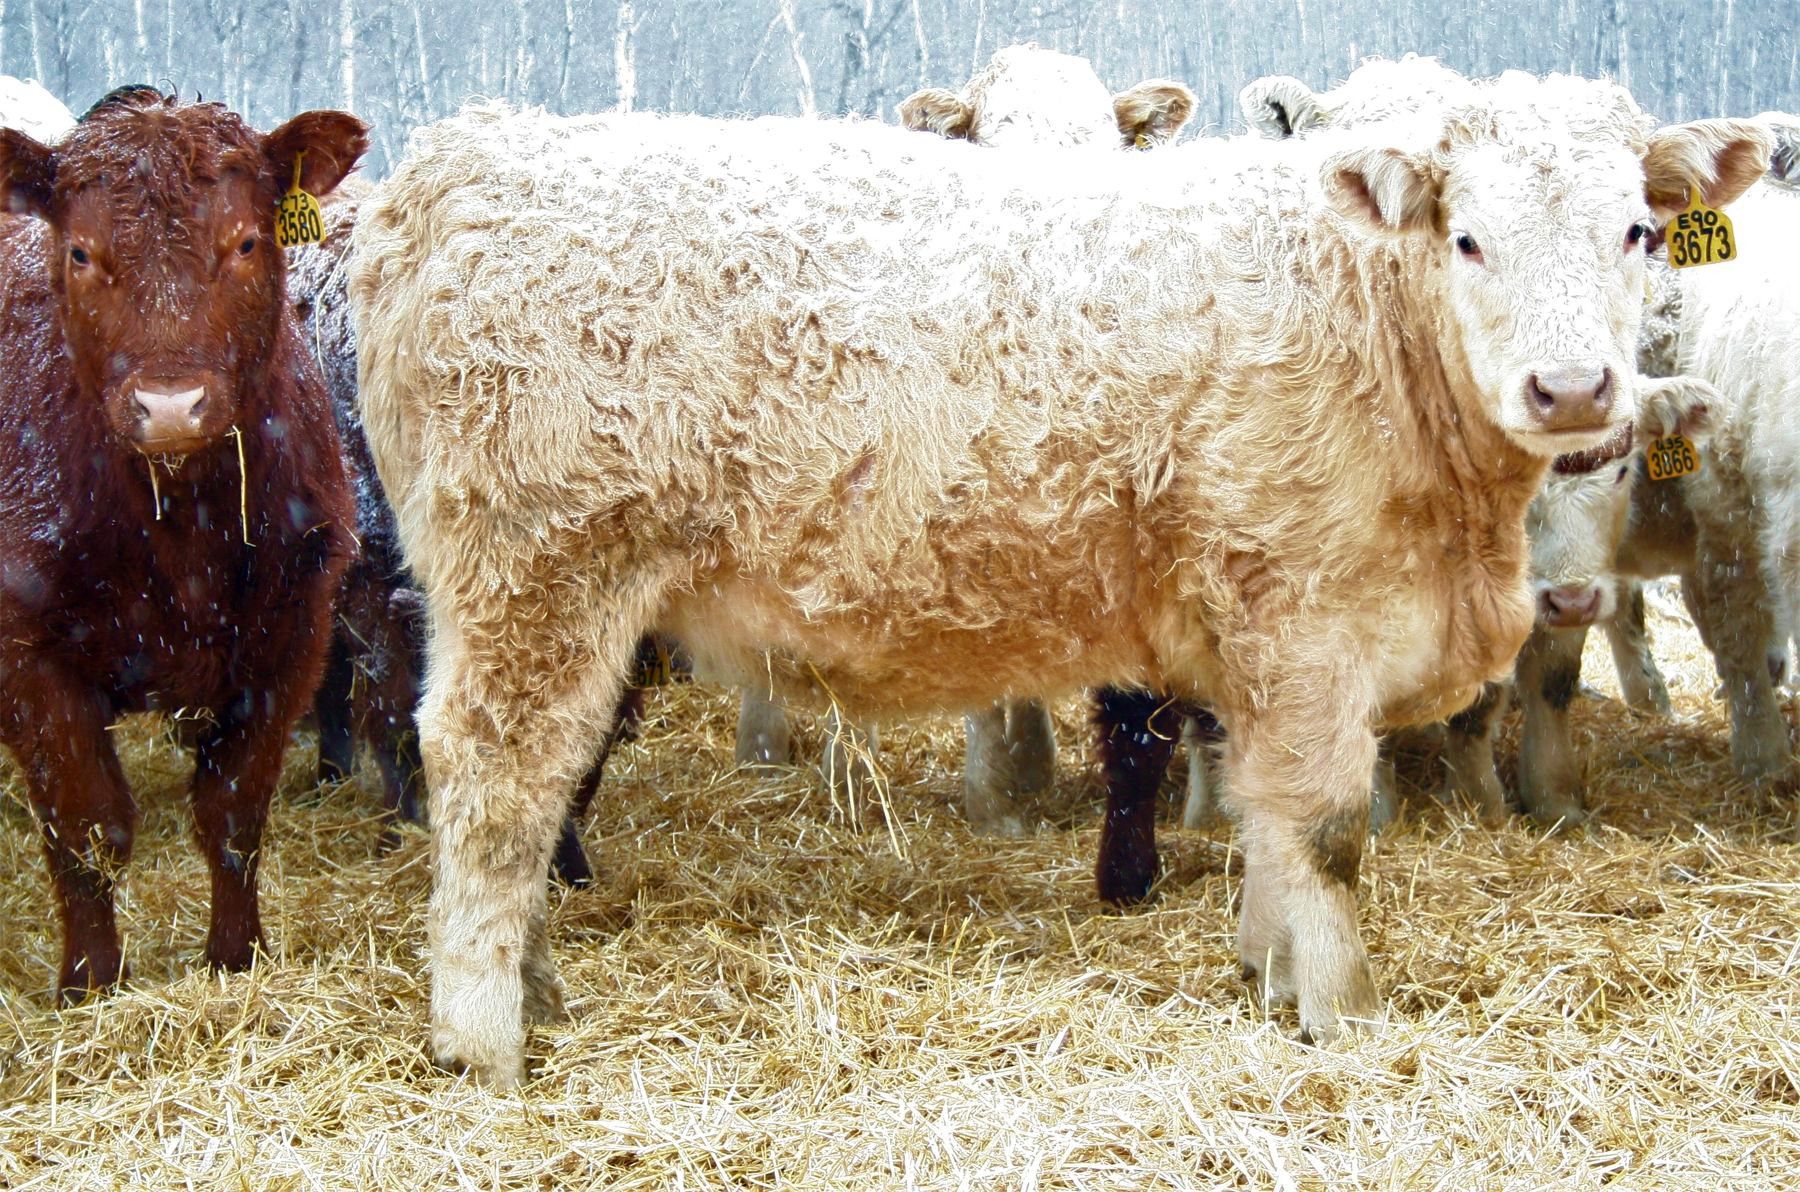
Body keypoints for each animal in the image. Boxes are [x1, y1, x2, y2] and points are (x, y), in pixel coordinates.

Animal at [0, 87, 366, 1000]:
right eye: (81, 251)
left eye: (245, 241)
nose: (169, 406)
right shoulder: (26, 655)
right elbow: (85, 827)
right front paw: (91, 983)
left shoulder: (291, 635)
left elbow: (233, 812)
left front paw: (236, 957)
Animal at [349, 83, 1766, 1085]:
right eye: (1468, 239)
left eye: (1638, 230)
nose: (1572, 390)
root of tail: (468, 157)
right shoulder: (1308, 612)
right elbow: (1325, 827)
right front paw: (1343, 1013)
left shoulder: (1257, 632)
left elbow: (1261, 814)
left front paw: (1266, 972)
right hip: (541, 576)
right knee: (495, 780)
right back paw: (483, 1034)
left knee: (524, 788)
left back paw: (531, 988)